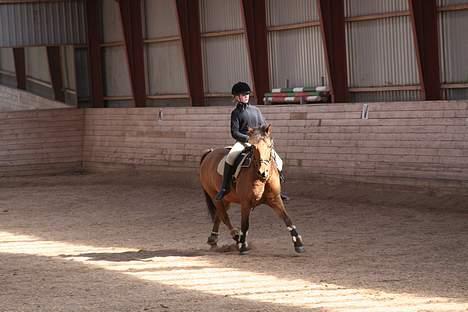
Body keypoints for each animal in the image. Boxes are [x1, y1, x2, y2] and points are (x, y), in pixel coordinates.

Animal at [198, 123, 304, 255]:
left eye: (270, 146)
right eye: (253, 147)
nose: (263, 172)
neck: (260, 179)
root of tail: (210, 152)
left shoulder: (275, 199)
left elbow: (287, 218)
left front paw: (298, 243)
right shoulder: (245, 202)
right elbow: (245, 224)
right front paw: (243, 246)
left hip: (226, 199)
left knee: (219, 215)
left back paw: (214, 240)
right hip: (214, 195)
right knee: (224, 216)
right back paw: (236, 237)